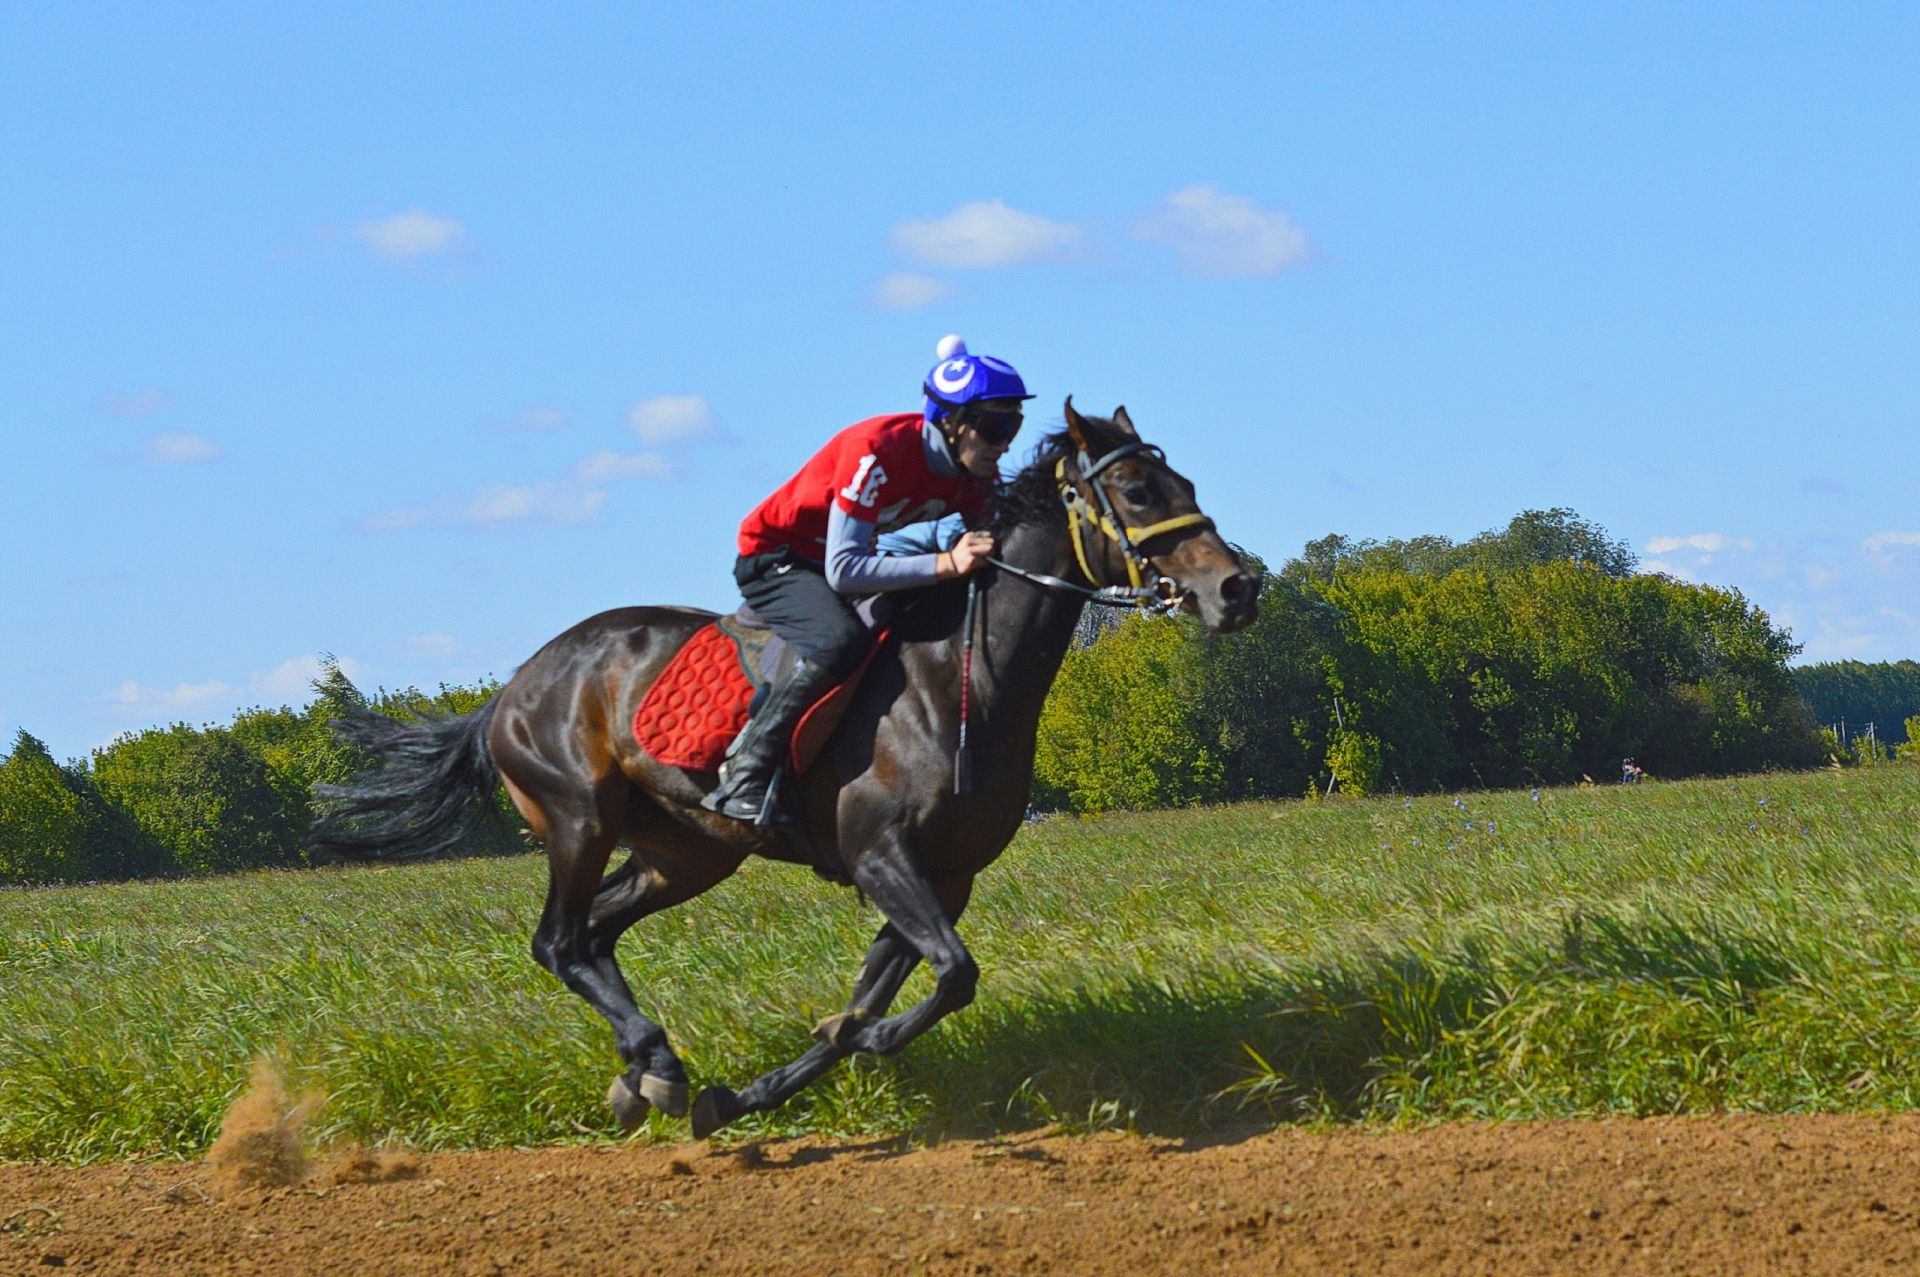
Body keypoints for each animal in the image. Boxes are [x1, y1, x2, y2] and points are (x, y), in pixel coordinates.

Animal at [314, 399, 1259, 1136]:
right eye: (1137, 491)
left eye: (1187, 486)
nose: (1237, 588)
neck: (964, 675)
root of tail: (508, 689)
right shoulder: (881, 854)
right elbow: (948, 977)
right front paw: (851, 1040)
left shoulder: (944, 875)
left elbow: (892, 992)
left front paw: (753, 1089)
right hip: (579, 816)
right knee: (557, 939)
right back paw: (651, 1059)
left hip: (687, 850)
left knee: (594, 934)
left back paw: (647, 1069)